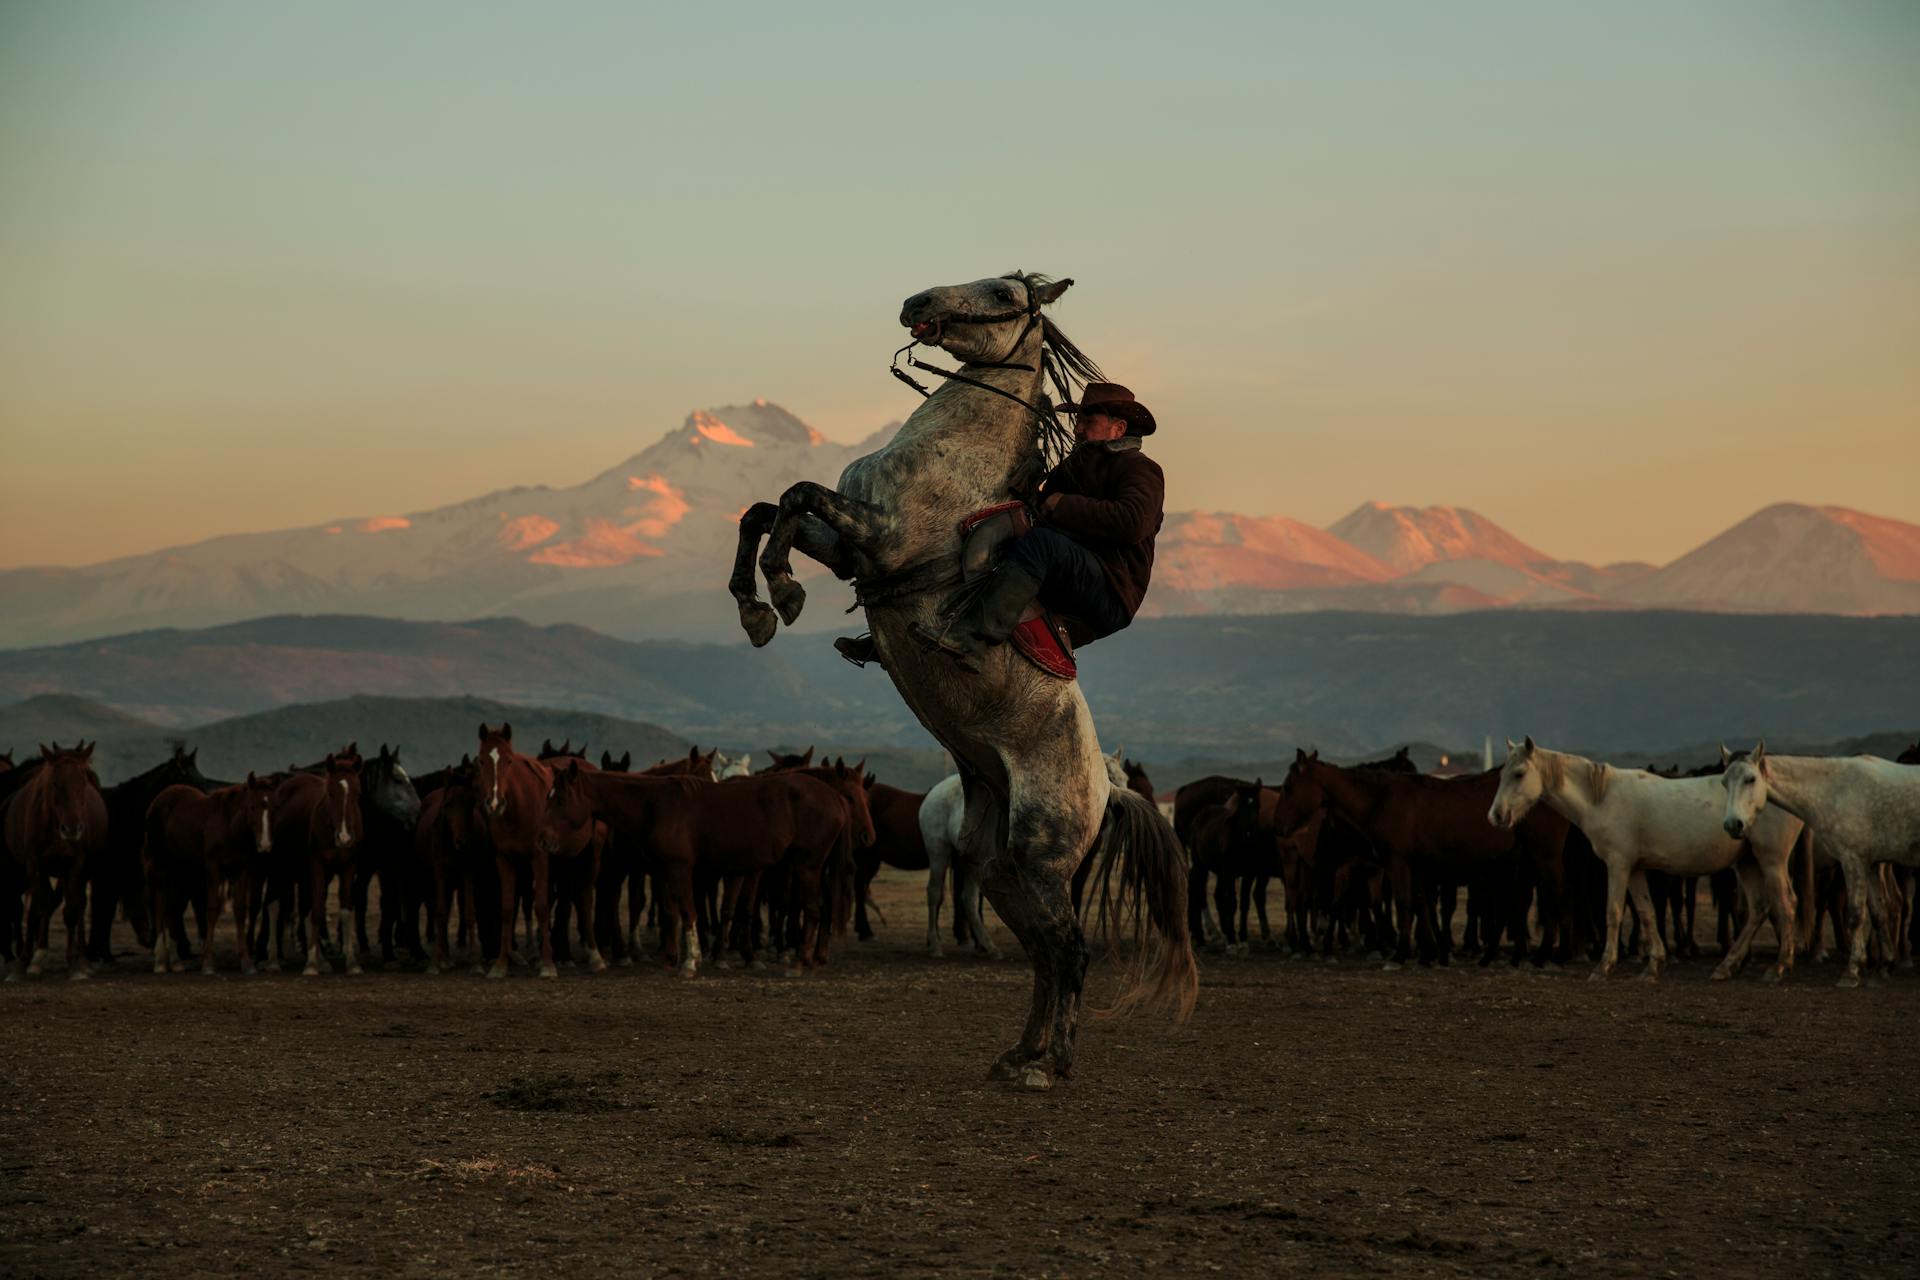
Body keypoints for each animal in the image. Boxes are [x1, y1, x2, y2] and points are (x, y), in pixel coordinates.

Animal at [3, 740, 108, 982]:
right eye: (54, 782)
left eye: (83, 781)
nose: (73, 829)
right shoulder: (34, 865)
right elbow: (37, 908)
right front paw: (25, 962)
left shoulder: (75, 865)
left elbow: (71, 910)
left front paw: (76, 965)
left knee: (77, 905)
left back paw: (82, 958)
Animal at [142, 775, 274, 974]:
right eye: (252, 806)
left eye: (271, 806)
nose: (265, 845)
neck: (229, 827)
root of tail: (157, 801)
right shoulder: (213, 869)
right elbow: (211, 909)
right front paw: (208, 963)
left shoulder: (241, 871)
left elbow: (240, 910)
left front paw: (247, 962)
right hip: (162, 866)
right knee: (160, 905)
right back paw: (160, 961)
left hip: (181, 871)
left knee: (172, 908)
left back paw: (175, 960)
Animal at [725, 270, 1190, 1090]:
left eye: (1004, 291)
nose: (916, 304)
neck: (951, 454)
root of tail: (1110, 789)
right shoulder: (850, 550)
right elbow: (765, 508)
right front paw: (757, 606)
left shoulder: (876, 537)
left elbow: (798, 493)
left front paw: (779, 590)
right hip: (997, 865)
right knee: (1043, 953)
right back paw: (1019, 1053)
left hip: (1042, 852)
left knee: (1072, 951)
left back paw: (1051, 1065)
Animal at [1482, 740, 1812, 982]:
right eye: (1501, 775)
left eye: (1519, 774)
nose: (1496, 816)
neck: (1601, 796)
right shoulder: (1636, 869)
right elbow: (1646, 912)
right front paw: (1653, 965)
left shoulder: (1618, 865)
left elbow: (1614, 912)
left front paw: (1603, 967)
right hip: (1748, 863)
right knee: (1759, 908)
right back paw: (1725, 967)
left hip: (1771, 860)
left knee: (1786, 904)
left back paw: (1779, 968)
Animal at [1720, 740, 1920, 990]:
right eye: (1724, 782)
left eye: (1751, 779)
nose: (1732, 825)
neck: (1836, 790)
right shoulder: (1871, 865)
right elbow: (1878, 913)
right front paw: (1883, 968)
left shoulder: (1852, 860)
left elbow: (1855, 915)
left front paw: (1851, 972)